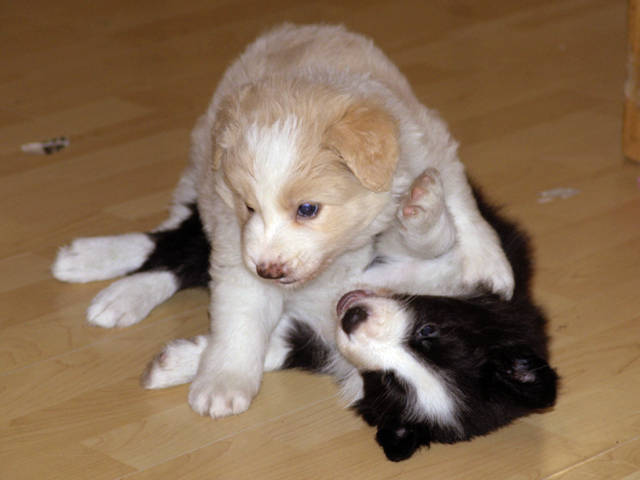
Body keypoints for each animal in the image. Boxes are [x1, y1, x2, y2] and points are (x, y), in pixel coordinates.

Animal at [52, 24, 515, 418]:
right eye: (249, 207)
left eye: (307, 210)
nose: (270, 271)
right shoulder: (233, 239)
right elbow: (240, 313)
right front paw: (222, 383)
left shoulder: (427, 146)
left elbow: (455, 207)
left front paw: (488, 264)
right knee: (176, 239)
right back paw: (96, 271)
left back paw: (109, 287)